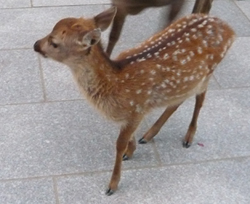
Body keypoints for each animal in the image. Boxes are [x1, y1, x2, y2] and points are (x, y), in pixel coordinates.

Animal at [33, 5, 234, 194]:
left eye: (54, 42)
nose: (35, 44)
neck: (115, 85)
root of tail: (229, 29)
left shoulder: (138, 108)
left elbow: (119, 144)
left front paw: (112, 185)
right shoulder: (134, 113)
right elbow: (128, 137)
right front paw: (131, 150)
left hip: (208, 73)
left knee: (200, 99)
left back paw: (188, 137)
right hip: (188, 81)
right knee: (177, 101)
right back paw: (149, 135)